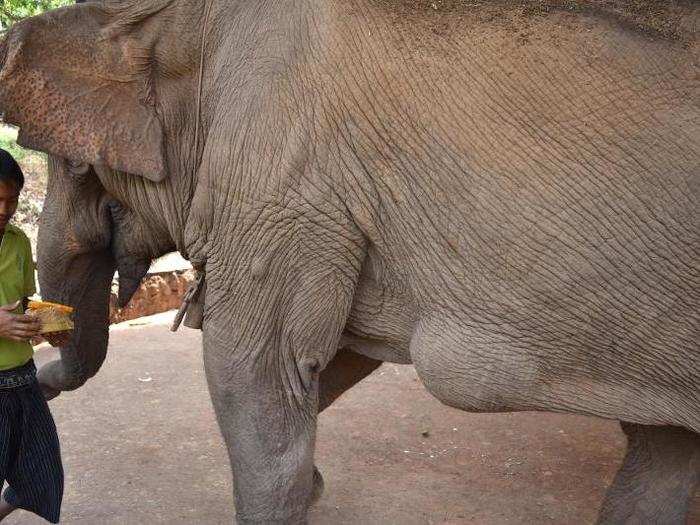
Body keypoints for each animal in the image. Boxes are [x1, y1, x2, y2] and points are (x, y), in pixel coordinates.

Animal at [0, 0, 696, 520]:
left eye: (74, 164)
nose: (41, 371)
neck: (177, 20)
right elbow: (332, 358)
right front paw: (313, 486)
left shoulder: (280, 170)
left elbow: (251, 366)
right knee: (661, 463)